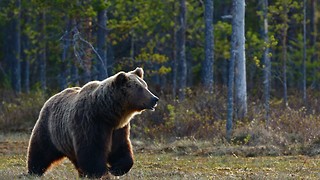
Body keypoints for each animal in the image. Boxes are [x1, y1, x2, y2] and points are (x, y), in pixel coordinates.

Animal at [26, 68, 159, 179]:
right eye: (139, 88)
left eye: (145, 85)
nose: (155, 99)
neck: (107, 113)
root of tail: (51, 98)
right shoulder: (90, 122)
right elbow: (92, 150)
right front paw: (101, 173)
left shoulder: (118, 129)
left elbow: (120, 148)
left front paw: (115, 169)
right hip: (50, 129)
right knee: (40, 150)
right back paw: (34, 171)